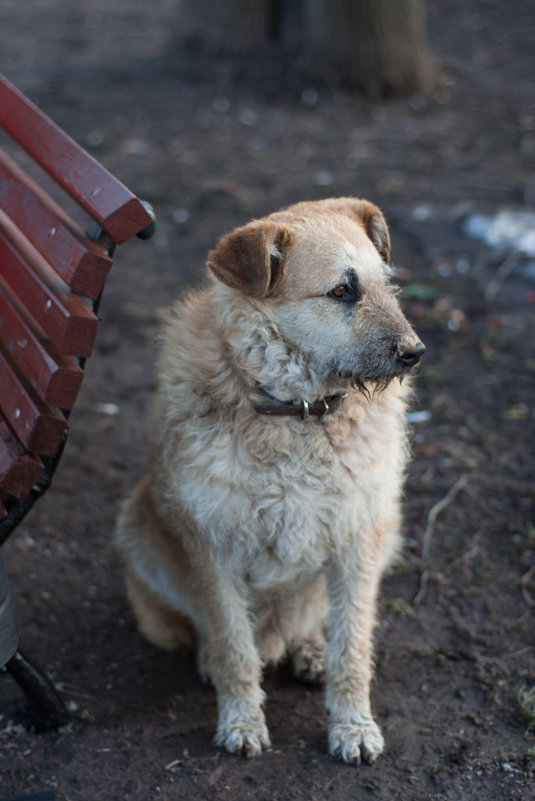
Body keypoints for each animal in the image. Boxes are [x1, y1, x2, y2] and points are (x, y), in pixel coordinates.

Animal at [115, 198, 426, 764]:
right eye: (341, 291)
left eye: (385, 284)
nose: (416, 352)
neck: (298, 414)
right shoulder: (213, 549)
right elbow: (234, 647)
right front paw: (241, 721)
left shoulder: (358, 540)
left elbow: (353, 647)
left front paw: (353, 726)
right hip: (138, 526)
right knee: (207, 632)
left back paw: (309, 649)